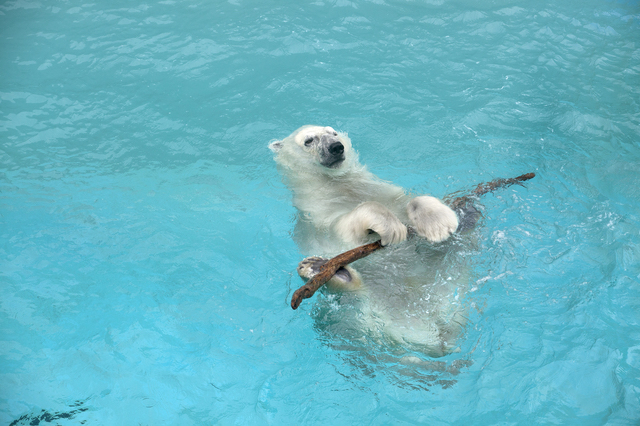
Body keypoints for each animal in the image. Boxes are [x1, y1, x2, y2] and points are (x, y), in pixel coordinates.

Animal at [268, 125, 472, 356]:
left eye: (333, 132)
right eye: (309, 140)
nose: (336, 147)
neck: (337, 185)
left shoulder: (384, 190)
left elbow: (409, 202)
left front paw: (439, 222)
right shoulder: (318, 218)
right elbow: (345, 228)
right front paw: (393, 228)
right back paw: (318, 268)